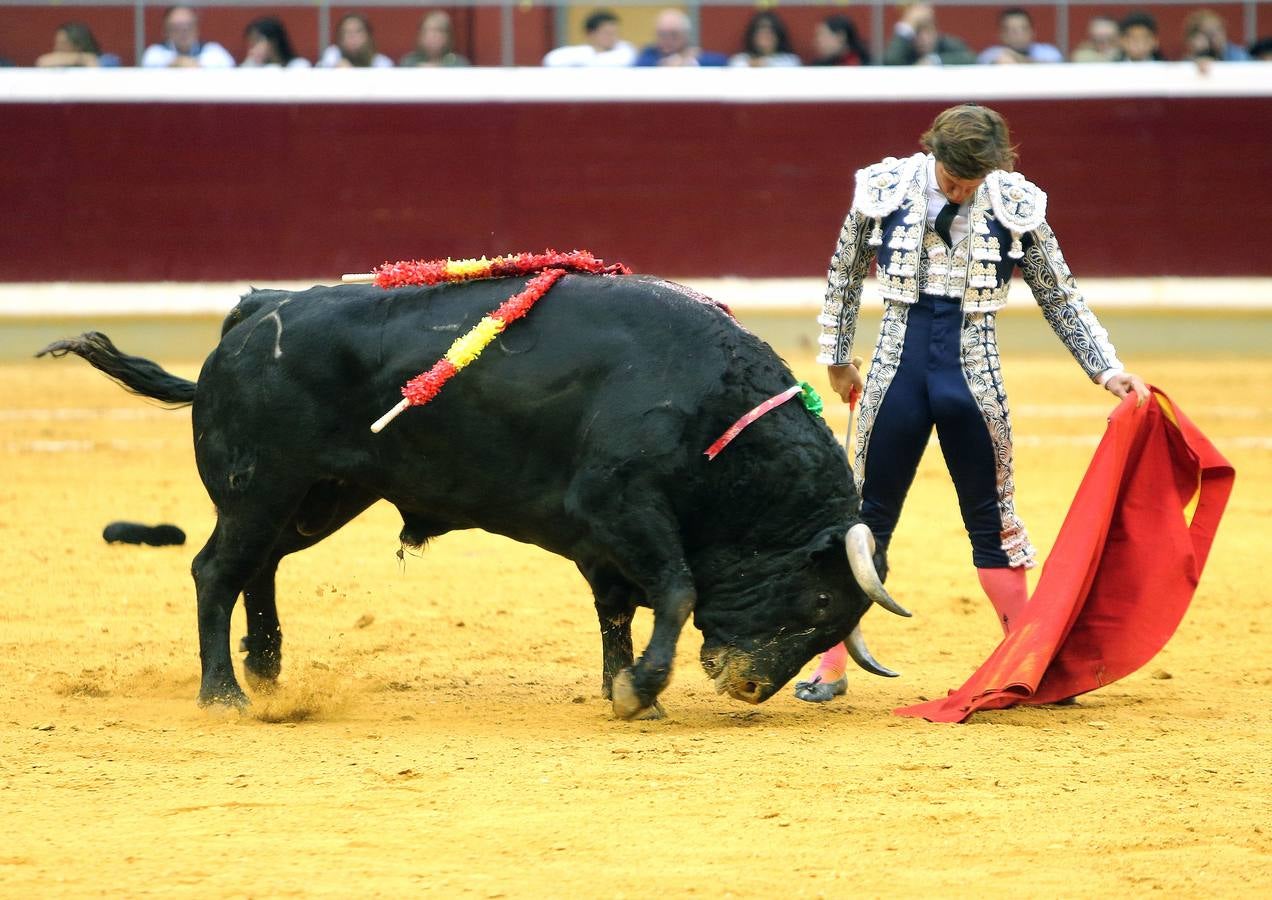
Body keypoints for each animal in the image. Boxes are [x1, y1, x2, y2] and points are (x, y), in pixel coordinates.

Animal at [42, 274, 905, 716]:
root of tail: (253, 312)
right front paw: (640, 692)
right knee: (216, 570)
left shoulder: (605, 539)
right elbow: (677, 588)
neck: (716, 414)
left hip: (319, 495)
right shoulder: (622, 508)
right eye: (820, 605)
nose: (749, 687)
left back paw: (270, 671)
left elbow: (620, 610)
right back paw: (224, 692)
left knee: (260, 567)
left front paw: (628, 689)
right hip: (261, 488)